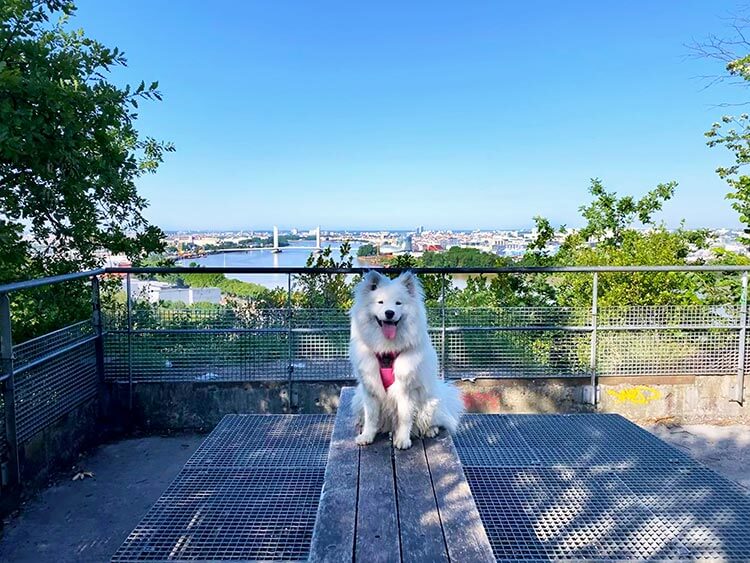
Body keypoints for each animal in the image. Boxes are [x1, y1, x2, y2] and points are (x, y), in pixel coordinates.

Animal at [352, 270, 464, 452]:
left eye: (398, 303)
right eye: (380, 302)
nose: (389, 312)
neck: (387, 352)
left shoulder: (406, 390)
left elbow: (405, 418)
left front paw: (403, 440)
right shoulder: (370, 390)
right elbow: (371, 417)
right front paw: (367, 436)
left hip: (430, 404)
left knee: (431, 422)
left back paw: (430, 430)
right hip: (358, 399)